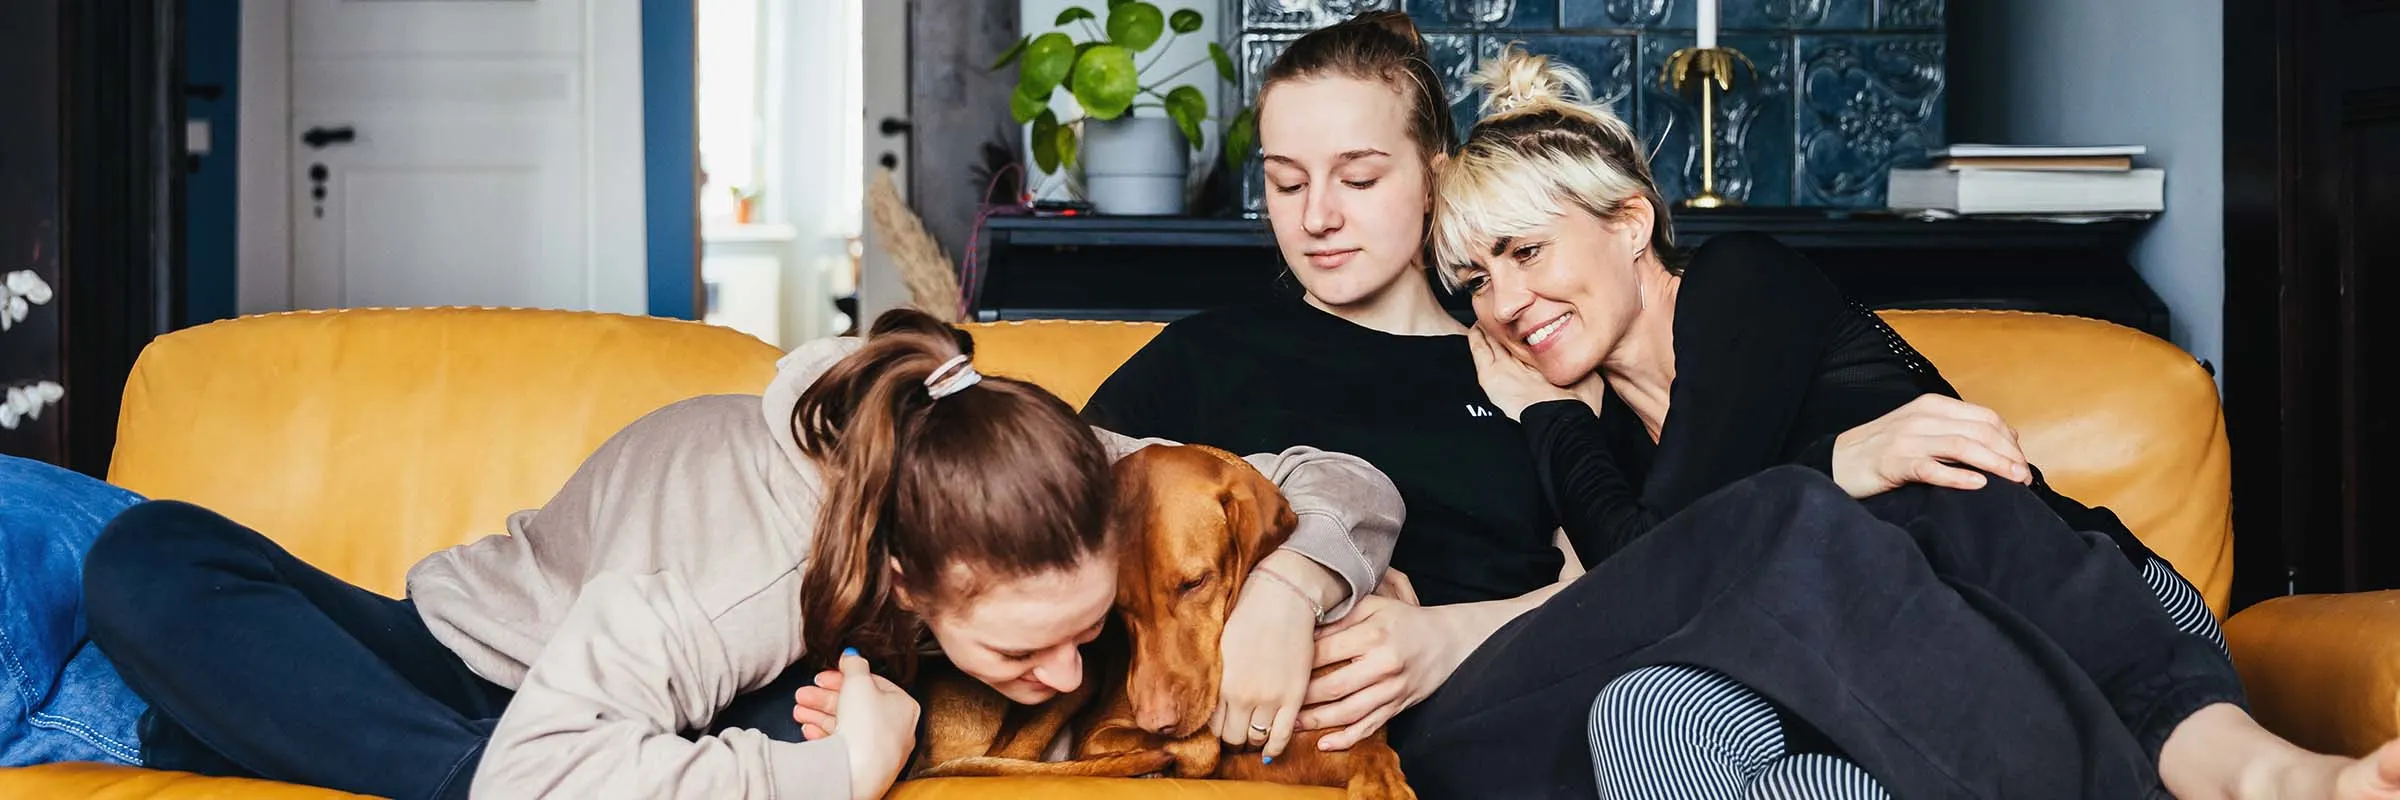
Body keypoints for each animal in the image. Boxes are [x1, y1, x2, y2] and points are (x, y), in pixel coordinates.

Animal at [907, 444, 1411, 792]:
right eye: (1118, 607)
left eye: (1195, 582)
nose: (1154, 721)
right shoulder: (1100, 734)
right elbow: (1203, 745)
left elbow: (1374, 751)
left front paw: (1382, 784)